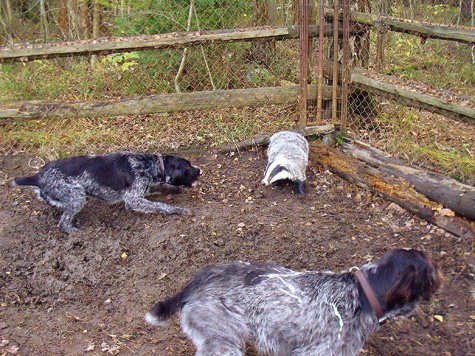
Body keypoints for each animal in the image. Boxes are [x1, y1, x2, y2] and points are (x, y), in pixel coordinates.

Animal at [11, 151, 201, 232]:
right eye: (188, 167)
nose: (200, 170)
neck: (150, 164)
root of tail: (38, 175)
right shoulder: (133, 199)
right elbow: (161, 206)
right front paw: (179, 210)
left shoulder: (145, 186)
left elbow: (161, 187)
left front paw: (174, 190)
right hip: (76, 196)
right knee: (63, 224)